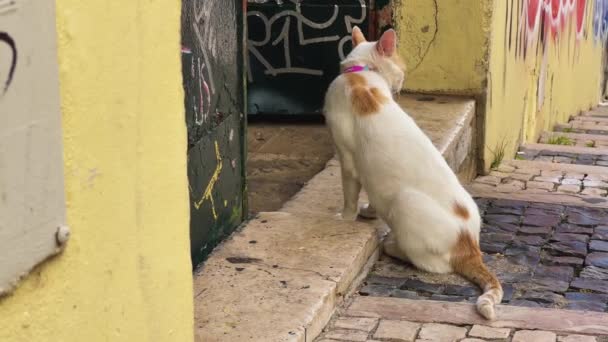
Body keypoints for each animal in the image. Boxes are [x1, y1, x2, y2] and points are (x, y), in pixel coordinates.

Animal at [324, 26, 504, 320]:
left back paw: (392, 245)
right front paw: (368, 211)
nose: (402, 84)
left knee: (431, 264)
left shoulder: (347, 159)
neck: (361, 72)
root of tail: (470, 245)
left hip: (405, 201)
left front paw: (345, 219)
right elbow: (370, 195)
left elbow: (349, 196)